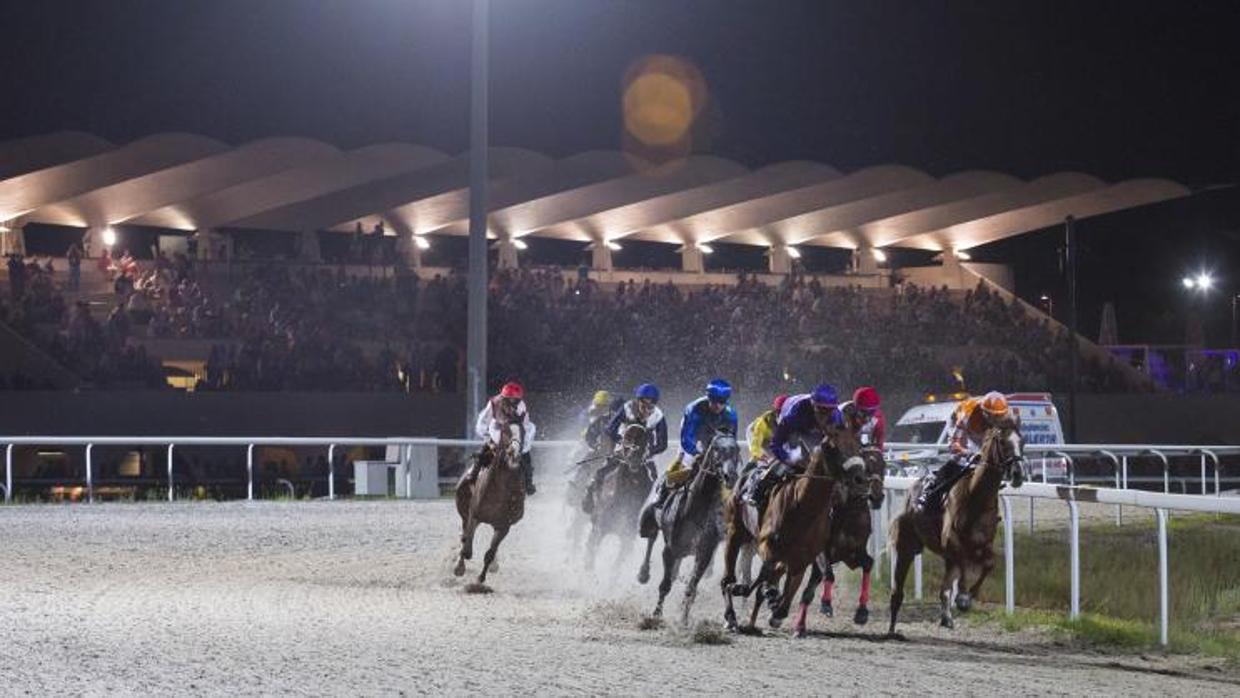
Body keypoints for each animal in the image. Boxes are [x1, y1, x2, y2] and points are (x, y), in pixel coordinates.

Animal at [453, 424, 525, 587]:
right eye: (506, 432)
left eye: (523, 432)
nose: (515, 454)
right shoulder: (474, 515)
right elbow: (467, 547)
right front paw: (459, 568)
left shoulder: (504, 525)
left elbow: (490, 553)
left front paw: (480, 578)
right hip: (465, 510)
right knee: (465, 536)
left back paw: (493, 565)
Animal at [719, 428, 863, 634]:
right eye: (834, 447)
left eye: (859, 444)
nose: (860, 479)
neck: (803, 508)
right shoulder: (767, 544)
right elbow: (766, 572)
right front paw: (763, 593)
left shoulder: (802, 559)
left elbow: (785, 598)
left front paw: (776, 609)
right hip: (735, 532)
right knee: (727, 579)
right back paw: (731, 616)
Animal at [798, 448, 887, 634]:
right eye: (866, 468)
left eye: (884, 466)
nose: (877, 496)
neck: (850, 513)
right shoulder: (823, 552)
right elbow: (830, 574)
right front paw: (826, 604)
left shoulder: (853, 554)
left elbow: (868, 563)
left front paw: (861, 612)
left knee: (807, 593)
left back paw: (799, 626)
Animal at [892, 419, 1026, 634]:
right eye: (1003, 442)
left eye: (1022, 441)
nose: (1018, 473)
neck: (975, 498)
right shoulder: (952, 541)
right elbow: (963, 560)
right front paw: (962, 596)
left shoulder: (985, 543)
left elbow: (990, 564)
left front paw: (968, 597)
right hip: (909, 545)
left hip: (947, 557)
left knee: (944, 589)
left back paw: (946, 617)